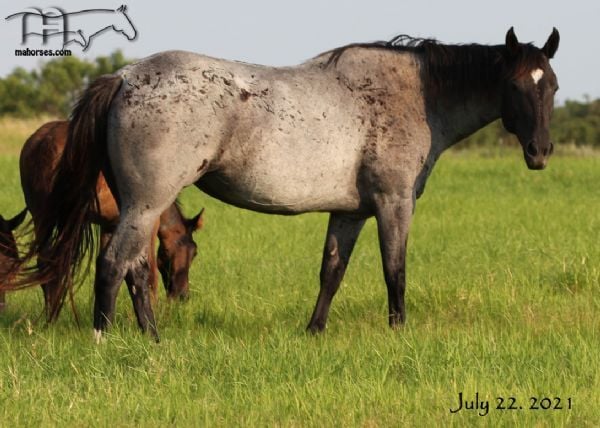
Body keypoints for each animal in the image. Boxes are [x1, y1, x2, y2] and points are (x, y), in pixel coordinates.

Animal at [19, 120, 205, 320]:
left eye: (194, 252)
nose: (182, 295)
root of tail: (44, 142)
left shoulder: (109, 226)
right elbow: (150, 275)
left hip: (42, 217)